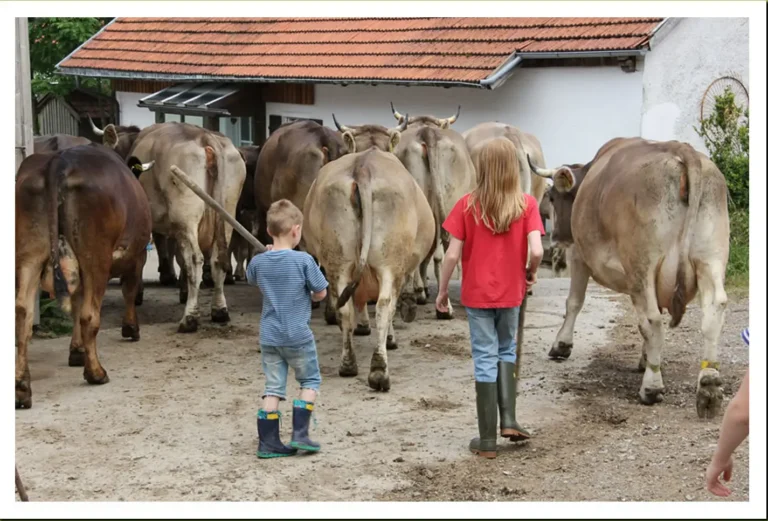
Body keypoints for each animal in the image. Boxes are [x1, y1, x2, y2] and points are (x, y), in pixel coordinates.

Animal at [15, 142, 152, 406]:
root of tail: (60, 159)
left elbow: (76, 306)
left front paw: (76, 350)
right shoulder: (137, 256)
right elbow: (129, 291)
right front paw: (131, 328)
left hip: (29, 255)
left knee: (22, 314)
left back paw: (21, 388)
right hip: (95, 256)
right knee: (90, 315)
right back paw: (96, 372)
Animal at [126, 122, 244, 332]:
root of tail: (204, 135)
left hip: (186, 215)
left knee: (195, 260)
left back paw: (189, 318)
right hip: (227, 212)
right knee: (218, 259)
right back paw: (219, 311)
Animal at [306, 115, 438, 390]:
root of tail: (364, 167)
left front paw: (363, 327)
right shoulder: (400, 271)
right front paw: (389, 338)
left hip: (339, 262)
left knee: (345, 306)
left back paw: (348, 364)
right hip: (390, 263)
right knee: (384, 305)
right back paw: (379, 370)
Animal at [528, 135, 732, 418]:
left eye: (551, 196)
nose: (554, 235)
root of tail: (681, 150)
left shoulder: (579, 256)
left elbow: (574, 303)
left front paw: (562, 345)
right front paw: (646, 358)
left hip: (642, 266)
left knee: (653, 320)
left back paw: (652, 387)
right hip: (710, 259)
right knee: (713, 311)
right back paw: (709, 385)